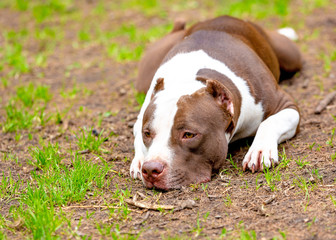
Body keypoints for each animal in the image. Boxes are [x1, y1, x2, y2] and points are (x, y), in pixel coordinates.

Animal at [131, 15, 302, 190]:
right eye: (147, 133)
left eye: (188, 134)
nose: (150, 169)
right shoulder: (141, 118)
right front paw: (138, 160)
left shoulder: (286, 105)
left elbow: (270, 122)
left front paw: (260, 150)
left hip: (291, 57)